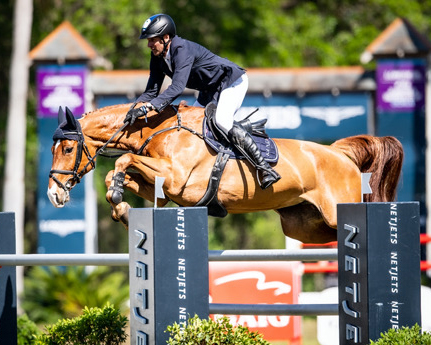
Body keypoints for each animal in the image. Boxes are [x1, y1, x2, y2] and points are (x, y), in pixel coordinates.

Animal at [48, 102, 404, 242]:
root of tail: (340, 153)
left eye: (67, 149)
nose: (54, 195)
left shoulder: (178, 179)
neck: (160, 130)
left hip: (336, 211)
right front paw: (120, 206)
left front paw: (118, 199)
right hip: (303, 227)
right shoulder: (164, 188)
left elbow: (123, 162)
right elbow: (121, 172)